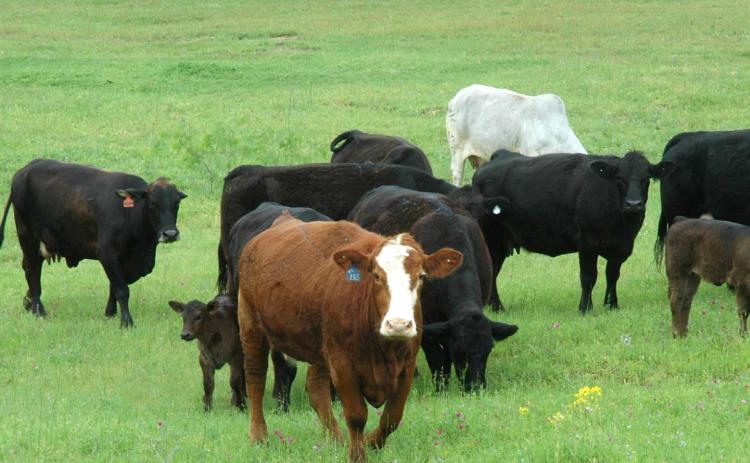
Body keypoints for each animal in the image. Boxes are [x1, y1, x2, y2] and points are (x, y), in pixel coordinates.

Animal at [0, 159, 186, 327]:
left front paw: (111, 312)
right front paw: (126, 321)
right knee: (32, 271)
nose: (170, 234)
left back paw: (29, 303)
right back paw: (39, 310)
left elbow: (114, 286)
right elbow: (121, 289)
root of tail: (25, 169)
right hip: (27, 237)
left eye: (176, 203)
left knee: (29, 268)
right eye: (153, 203)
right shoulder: (107, 253)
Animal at [237, 216, 462, 462]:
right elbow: (356, 415)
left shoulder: (407, 365)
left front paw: (371, 442)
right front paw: (357, 454)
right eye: (376, 275)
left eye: (421, 276)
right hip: (251, 326)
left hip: (320, 348)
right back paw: (259, 436)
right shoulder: (343, 364)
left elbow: (392, 417)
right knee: (256, 380)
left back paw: (337, 440)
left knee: (316, 388)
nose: (398, 324)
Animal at [348, 186, 517, 391]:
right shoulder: (427, 322)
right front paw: (441, 389)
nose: (475, 387)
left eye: (488, 349)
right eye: (459, 350)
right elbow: (437, 359)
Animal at [473, 150, 673, 313]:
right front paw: (585, 308)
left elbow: (612, 275)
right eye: (619, 179)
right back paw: (497, 307)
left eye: (646, 179)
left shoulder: (620, 247)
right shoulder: (587, 243)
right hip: (491, 239)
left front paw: (612, 305)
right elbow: (588, 277)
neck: (622, 225)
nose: (633, 204)